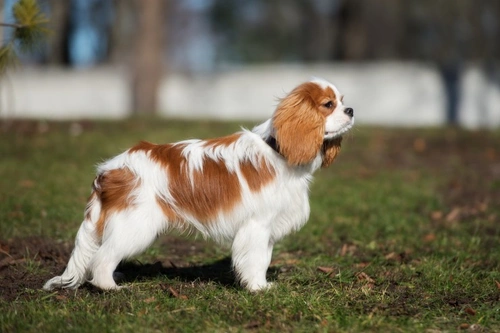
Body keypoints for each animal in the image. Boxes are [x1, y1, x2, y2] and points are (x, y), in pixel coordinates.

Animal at [44, 78, 356, 290]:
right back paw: (110, 287)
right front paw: (257, 289)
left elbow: (264, 259)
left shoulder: (266, 227)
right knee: (102, 258)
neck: (278, 149)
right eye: (328, 105)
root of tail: (108, 171)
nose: (351, 110)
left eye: (342, 101)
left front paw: (263, 285)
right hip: (136, 226)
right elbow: (255, 260)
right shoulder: (256, 226)